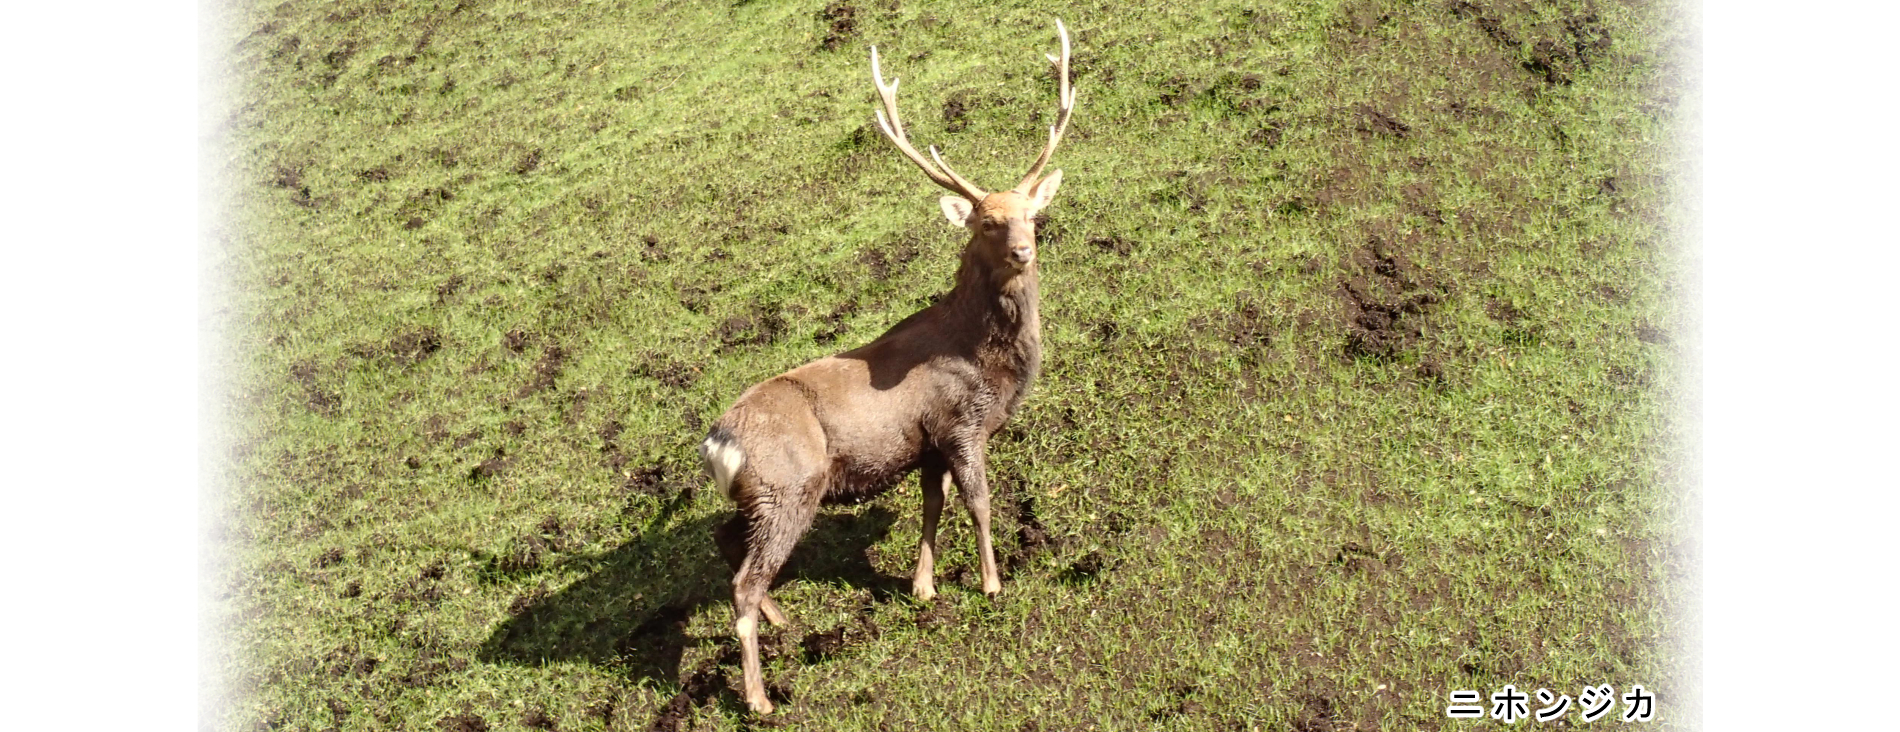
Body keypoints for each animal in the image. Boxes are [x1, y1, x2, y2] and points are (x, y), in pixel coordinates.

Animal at [699, 19, 1079, 711]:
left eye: (1031, 212)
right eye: (987, 221)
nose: (1024, 249)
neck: (983, 360)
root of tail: (717, 444)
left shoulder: (926, 442)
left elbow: (933, 503)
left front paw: (923, 586)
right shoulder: (960, 423)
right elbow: (979, 502)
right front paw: (991, 583)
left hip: (758, 496)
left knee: (728, 547)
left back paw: (783, 620)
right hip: (789, 486)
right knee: (744, 582)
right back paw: (759, 696)